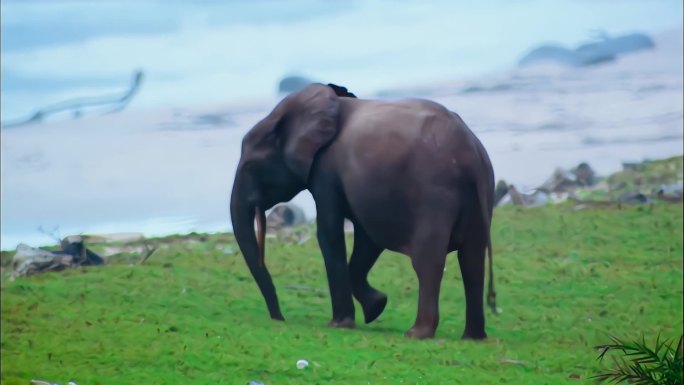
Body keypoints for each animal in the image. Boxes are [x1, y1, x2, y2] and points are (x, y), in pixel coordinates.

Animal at [230, 82, 496, 340]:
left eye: (251, 166)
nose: (280, 318)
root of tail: (472, 153)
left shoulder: (325, 169)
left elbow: (329, 234)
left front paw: (340, 324)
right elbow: (367, 242)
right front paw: (376, 307)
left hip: (435, 194)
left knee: (428, 261)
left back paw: (416, 334)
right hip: (478, 197)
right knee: (472, 261)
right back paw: (472, 337)